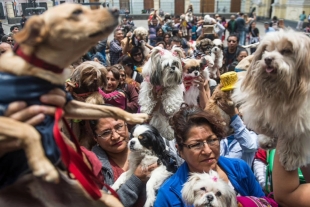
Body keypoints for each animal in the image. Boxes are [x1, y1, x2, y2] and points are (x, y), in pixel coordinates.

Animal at [0, 2, 147, 205]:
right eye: (76, 12)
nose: (116, 11)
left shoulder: (69, 105)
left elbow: (108, 110)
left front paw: (134, 116)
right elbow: (27, 129)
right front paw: (41, 162)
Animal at [232, 29, 310, 171]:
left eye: (286, 51)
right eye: (267, 50)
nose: (267, 59)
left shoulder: (301, 120)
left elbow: (296, 139)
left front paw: (291, 157)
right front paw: (267, 139)